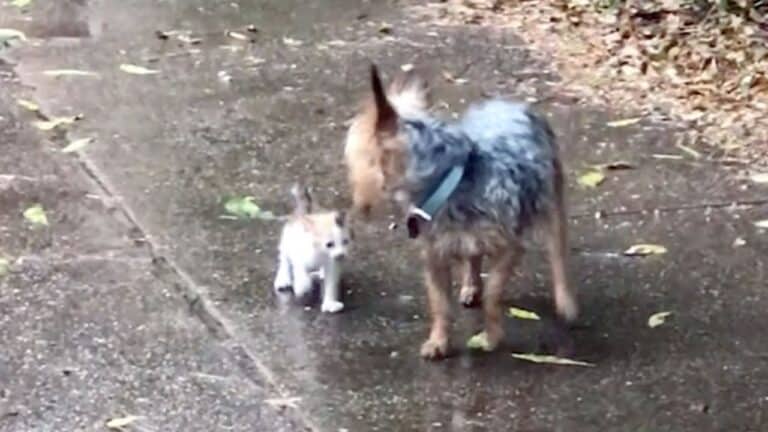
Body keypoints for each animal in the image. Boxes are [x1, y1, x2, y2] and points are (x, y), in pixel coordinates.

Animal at [272, 183, 352, 314]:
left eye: (345, 242)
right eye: (329, 244)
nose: (341, 255)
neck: (320, 253)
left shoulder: (332, 263)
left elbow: (330, 282)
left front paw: (329, 303)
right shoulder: (300, 254)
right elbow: (300, 270)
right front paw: (302, 286)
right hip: (286, 242)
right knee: (285, 260)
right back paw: (283, 279)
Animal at [344, 65, 576, 362]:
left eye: (354, 159)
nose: (356, 203)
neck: (450, 181)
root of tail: (509, 102)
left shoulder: (509, 248)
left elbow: (493, 294)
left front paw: (492, 336)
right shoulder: (434, 257)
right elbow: (440, 304)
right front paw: (439, 341)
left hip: (552, 201)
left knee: (557, 252)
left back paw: (565, 301)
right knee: (473, 258)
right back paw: (470, 286)